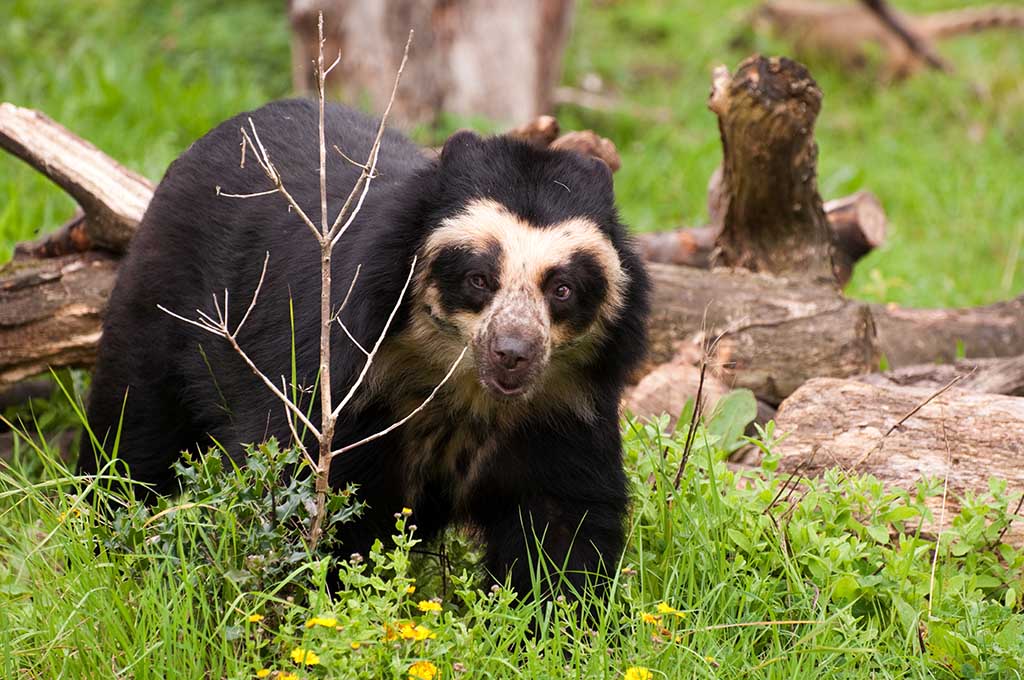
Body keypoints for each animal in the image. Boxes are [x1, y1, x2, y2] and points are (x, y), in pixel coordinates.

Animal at [83, 98, 651, 598]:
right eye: (478, 278)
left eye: (562, 288)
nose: (513, 353)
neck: (459, 383)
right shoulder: (344, 375)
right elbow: (298, 483)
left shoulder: (564, 403)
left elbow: (563, 519)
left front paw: (553, 618)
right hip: (163, 303)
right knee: (135, 427)